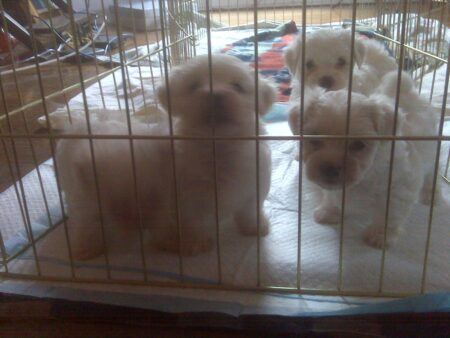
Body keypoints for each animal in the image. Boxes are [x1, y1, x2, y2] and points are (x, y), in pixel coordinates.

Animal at [56, 54, 274, 260]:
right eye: (194, 86)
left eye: (238, 86)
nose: (215, 95)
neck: (217, 147)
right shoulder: (184, 196)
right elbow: (191, 221)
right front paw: (195, 243)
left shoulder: (254, 182)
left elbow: (250, 209)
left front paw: (254, 227)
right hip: (83, 194)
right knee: (87, 221)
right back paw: (87, 249)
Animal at [286, 72, 438, 248]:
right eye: (315, 141)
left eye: (359, 144)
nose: (330, 168)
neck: (366, 175)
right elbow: (331, 196)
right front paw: (329, 212)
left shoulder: (399, 187)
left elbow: (390, 213)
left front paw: (380, 236)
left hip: (432, 152)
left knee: (432, 173)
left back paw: (430, 194)